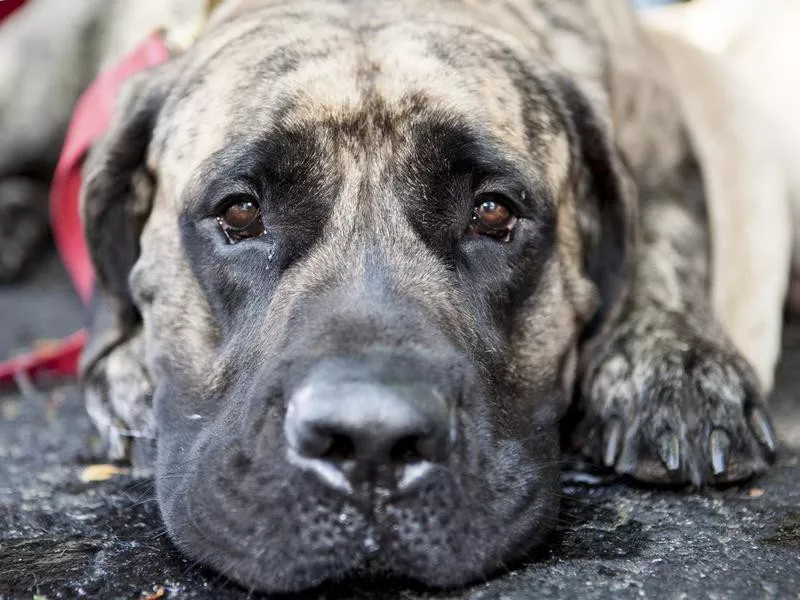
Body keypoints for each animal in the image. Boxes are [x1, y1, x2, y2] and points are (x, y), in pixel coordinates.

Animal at [0, 0, 792, 592]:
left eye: (493, 212)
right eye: (241, 213)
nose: (370, 442)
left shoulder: (659, 142)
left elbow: (666, 231)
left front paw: (672, 366)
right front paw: (129, 367)